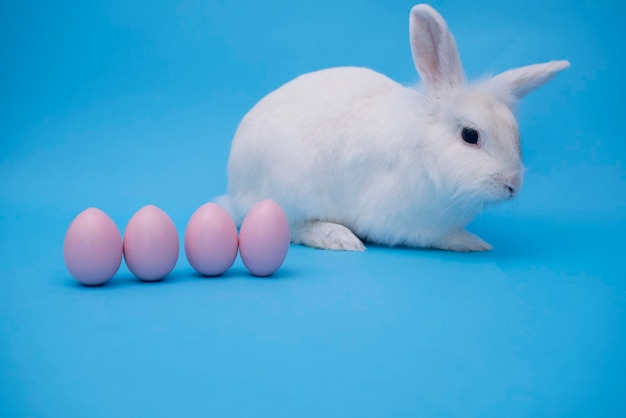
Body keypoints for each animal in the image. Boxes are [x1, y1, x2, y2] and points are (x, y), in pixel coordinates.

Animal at [221, 4, 572, 251]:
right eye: (470, 136)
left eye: (517, 136)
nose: (513, 185)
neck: (425, 152)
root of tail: (234, 190)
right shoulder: (402, 220)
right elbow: (433, 237)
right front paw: (469, 242)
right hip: (289, 191)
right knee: (289, 226)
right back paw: (337, 237)